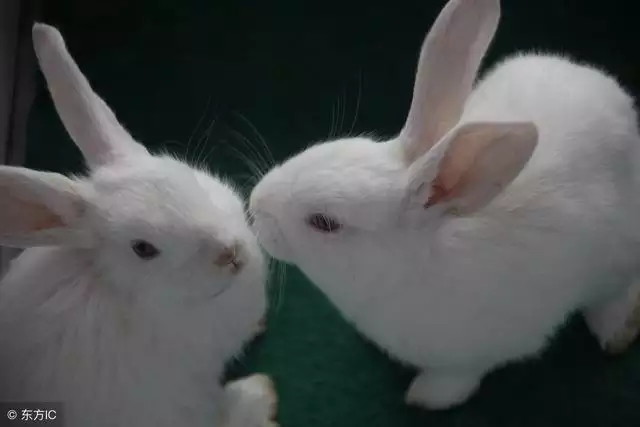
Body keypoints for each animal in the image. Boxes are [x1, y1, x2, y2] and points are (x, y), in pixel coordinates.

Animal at [249, 0, 640, 412]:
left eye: (324, 222)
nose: (255, 204)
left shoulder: (481, 349)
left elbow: (458, 377)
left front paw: (426, 397)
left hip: (618, 253)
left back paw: (615, 330)